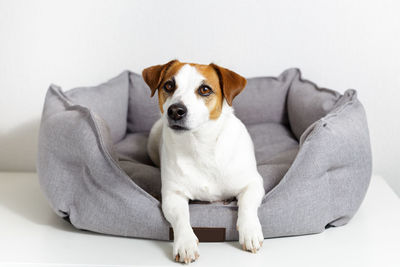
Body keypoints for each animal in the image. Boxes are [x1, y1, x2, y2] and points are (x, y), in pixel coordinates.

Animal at [142, 60, 264, 264]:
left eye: (205, 89)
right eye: (169, 85)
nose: (175, 110)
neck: (200, 144)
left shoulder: (253, 183)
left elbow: (247, 204)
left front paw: (250, 231)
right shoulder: (173, 195)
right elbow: (181, 217)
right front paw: (185, 243)